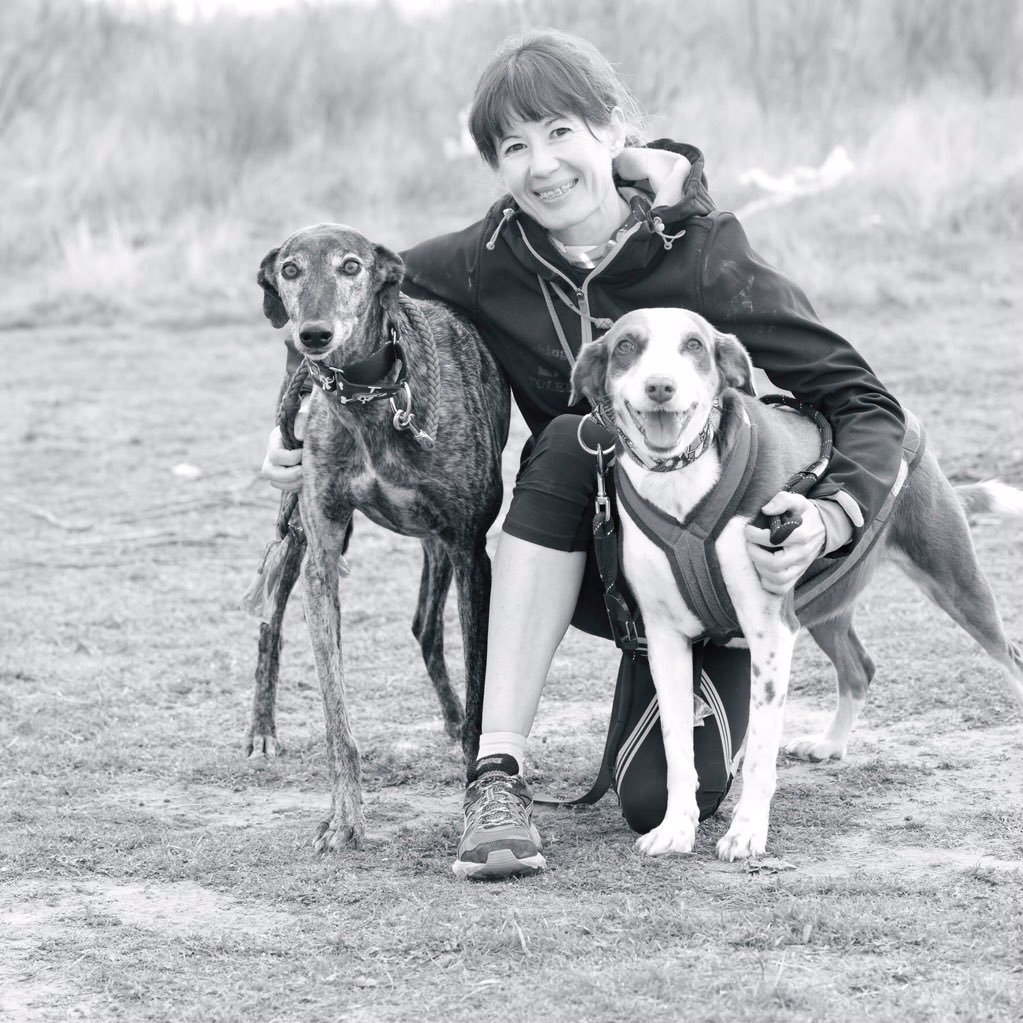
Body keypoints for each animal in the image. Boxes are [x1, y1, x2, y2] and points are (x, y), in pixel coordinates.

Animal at [568, 306, 1023, 859]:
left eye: (693, 345)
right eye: (626, 347)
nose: (660, 387)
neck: (680, 479)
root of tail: (908, 425)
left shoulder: (768, 630)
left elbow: (759, 752)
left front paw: (746, 832)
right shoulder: (664, 637)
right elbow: (677, 748)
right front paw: (676, 828)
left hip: (954, 583)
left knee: (1009, 654)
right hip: (819, 606)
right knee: (859, 668)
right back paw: (829, 744)